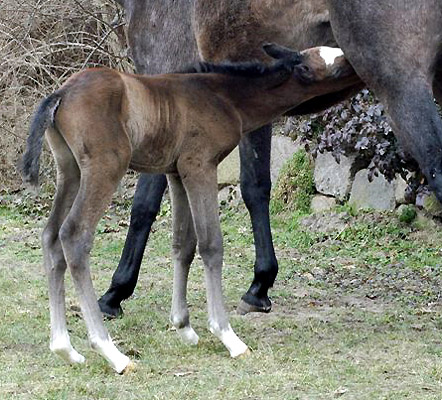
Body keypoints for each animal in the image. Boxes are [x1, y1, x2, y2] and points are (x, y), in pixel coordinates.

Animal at [19, 43, 360, 372]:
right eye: (336, 66)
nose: (360, 66)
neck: (224, 97)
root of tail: (61, 94)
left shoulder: (175, 172)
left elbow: (183, 244)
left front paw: (184, 327)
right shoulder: (200, 165)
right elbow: (211, 244)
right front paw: (227, 335)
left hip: (70, 170)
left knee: (50, 236)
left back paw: (65, 348)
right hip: (105, 168)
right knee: (74, 236)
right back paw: (112, 353)